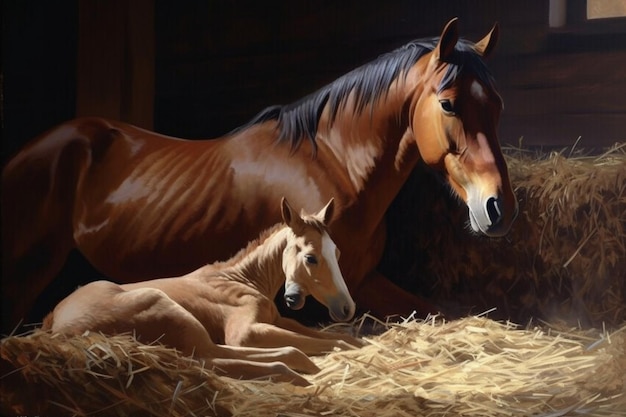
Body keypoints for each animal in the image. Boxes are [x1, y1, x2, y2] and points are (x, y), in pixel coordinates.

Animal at [1, 17, 516, 332]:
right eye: (448, 103)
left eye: (497, 103)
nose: (499, 209)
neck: (332, 165)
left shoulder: (362, 281)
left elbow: (438, 312)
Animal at [41, 197, 358, 386]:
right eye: (311, 258)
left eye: (338, 252)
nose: (347, 308)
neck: (243, 279)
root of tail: (52, 320)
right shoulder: (245, 331)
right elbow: (324, 342)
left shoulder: (277, 320)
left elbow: (334, 338)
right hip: (165, 307)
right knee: (207, 358)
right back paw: (295, 374)